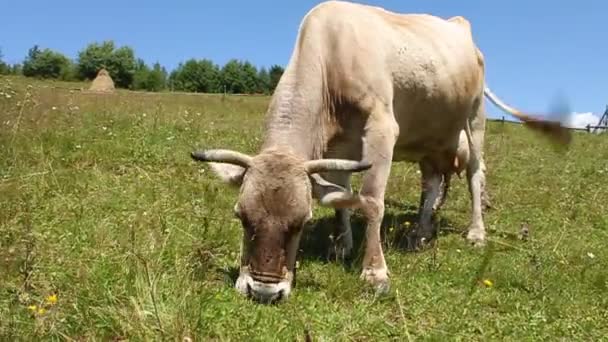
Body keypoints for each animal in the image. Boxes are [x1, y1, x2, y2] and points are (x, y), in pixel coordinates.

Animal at [190, 1, 568, 304]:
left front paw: (374, 272)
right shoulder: (338, 144)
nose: (264, 292)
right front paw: (341, 246)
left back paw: (476, 232)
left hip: (474, 119)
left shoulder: (383, 127)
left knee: (476, 173)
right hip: (430, 135)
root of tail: (460, 24)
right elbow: (341, 194)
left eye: (303, 221)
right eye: (241, 216)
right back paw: (420, 233)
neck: (332, 53)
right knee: (432, 182)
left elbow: (371, 200)